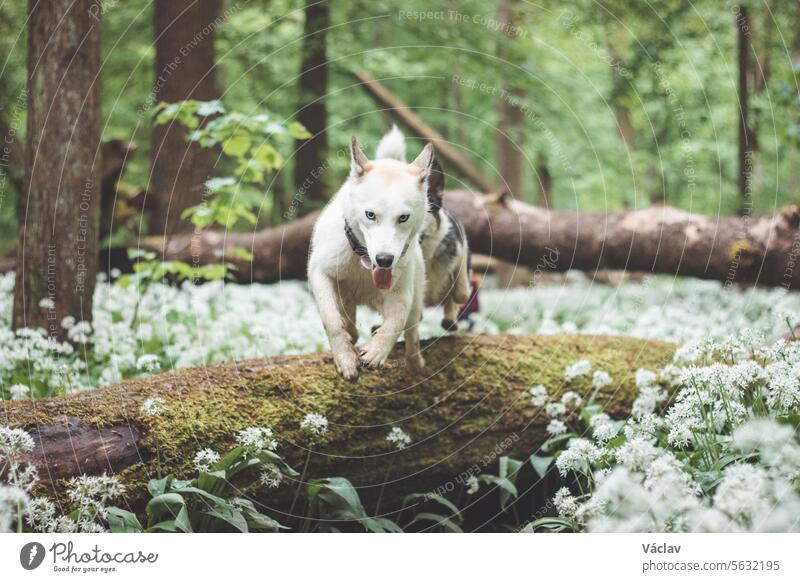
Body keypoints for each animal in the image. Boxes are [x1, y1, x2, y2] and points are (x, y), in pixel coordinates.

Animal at [306, 132, 434, 380]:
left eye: (403, 217)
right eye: (370, 215)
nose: (384, 260)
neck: (363, 264)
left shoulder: (401, 293)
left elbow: (396, 322)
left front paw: (376, 352)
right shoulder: (320, 272)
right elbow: (331, 319)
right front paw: (345, 358)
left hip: (414, 300)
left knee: (412, 330)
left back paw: (415, 362)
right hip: (345, 296)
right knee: (349, 322)